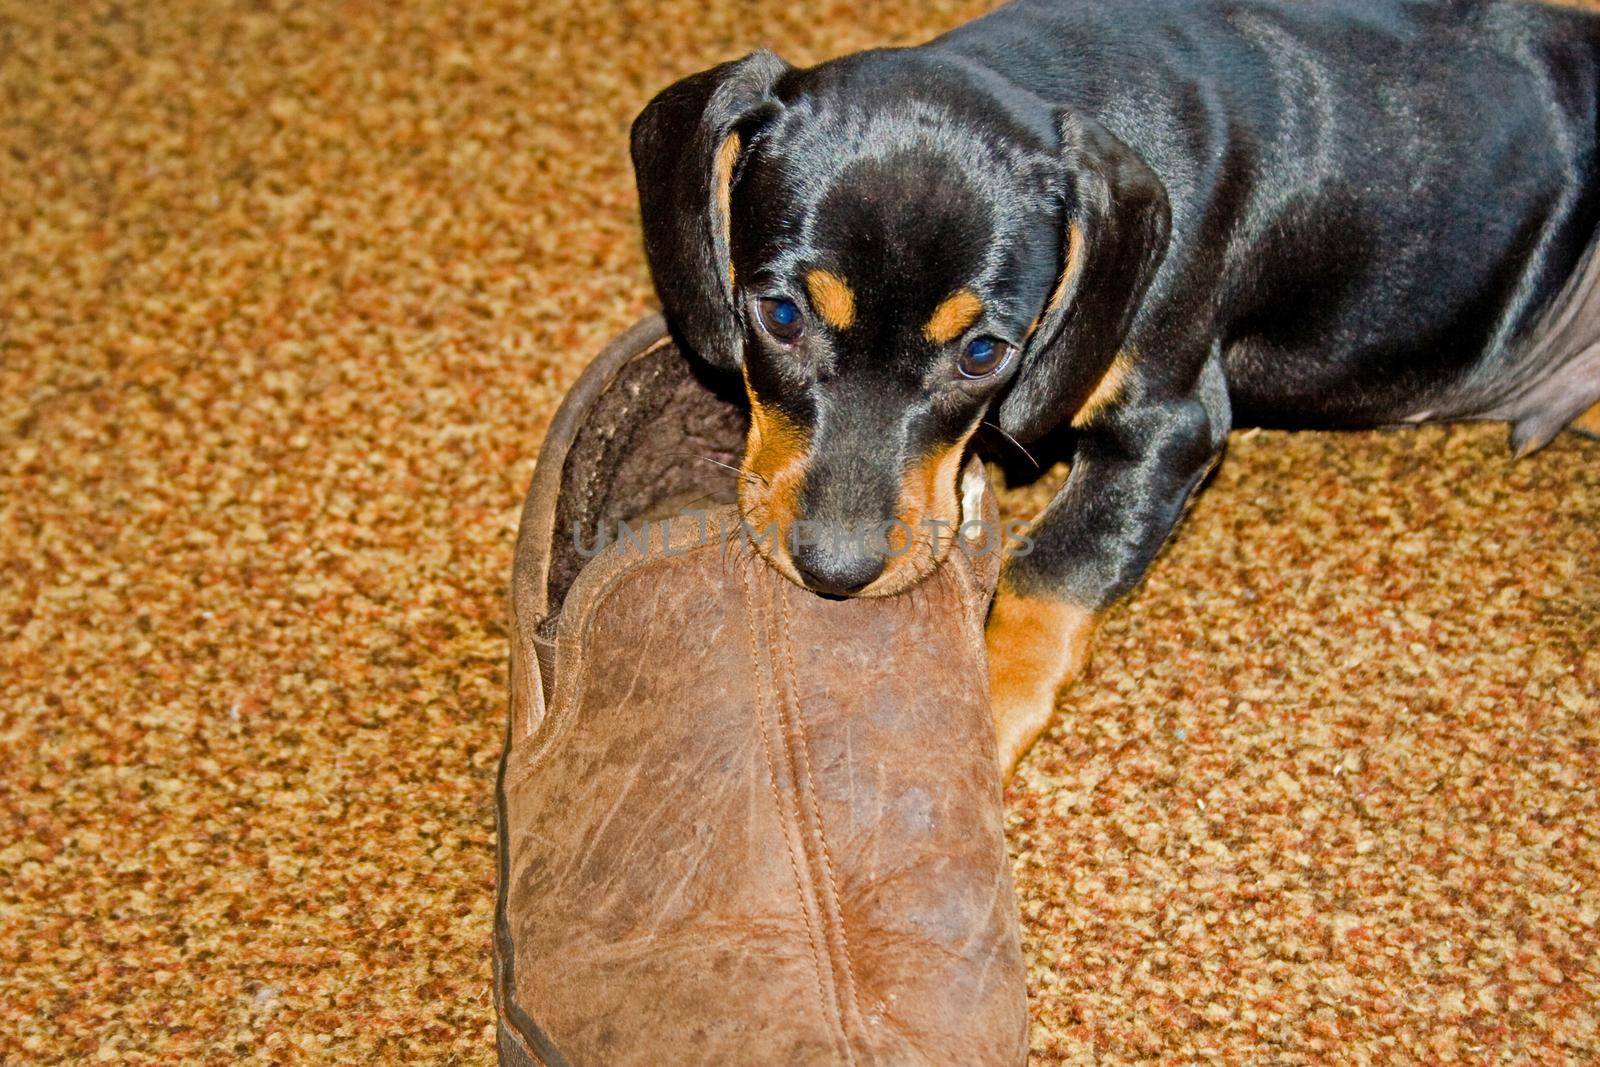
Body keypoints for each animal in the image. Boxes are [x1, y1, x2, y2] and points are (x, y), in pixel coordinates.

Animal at [630, 0, 1600, 777]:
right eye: (780, 315)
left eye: (983, 353)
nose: (834, 572)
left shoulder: (1172, 425)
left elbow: (1054, 569)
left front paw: (985, 717)